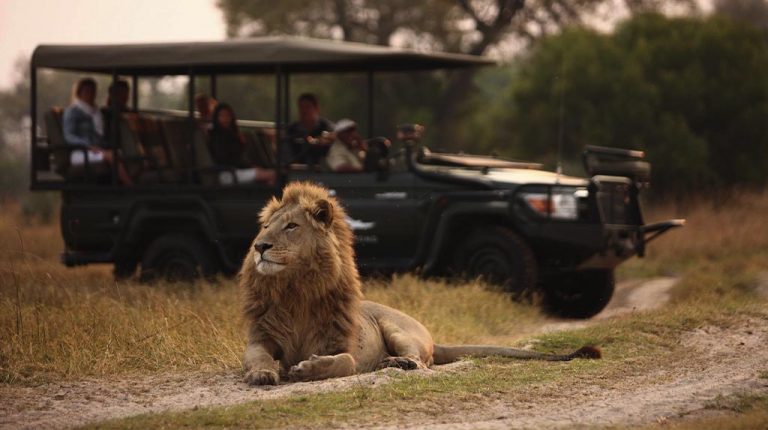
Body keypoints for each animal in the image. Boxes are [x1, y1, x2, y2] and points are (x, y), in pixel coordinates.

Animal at [239, 182, 600, 385]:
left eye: (291, 227)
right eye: (266, 226)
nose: (259, 246)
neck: (295, 290)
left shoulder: (339, 344)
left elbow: (345, 362)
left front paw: (307, 369)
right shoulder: (261, 338)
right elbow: (257, 357)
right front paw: (262, 373)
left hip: (397, 328)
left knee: (421, 361)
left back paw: (396, 362)